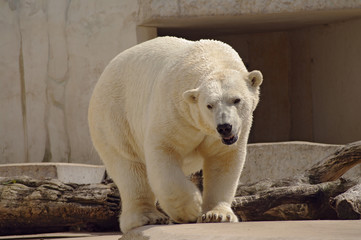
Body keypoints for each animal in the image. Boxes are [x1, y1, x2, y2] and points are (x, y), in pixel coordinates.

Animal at [87, 36, 262, 232]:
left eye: (236, 100)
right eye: (209, 105)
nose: (225, 127)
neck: (209, 56)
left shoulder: (226, 134)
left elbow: (223, 160)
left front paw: (217, 215)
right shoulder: (174, 112)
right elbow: (164, 155)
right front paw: (193, 208)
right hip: (115, 117)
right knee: (129, 166)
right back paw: (147, 217)